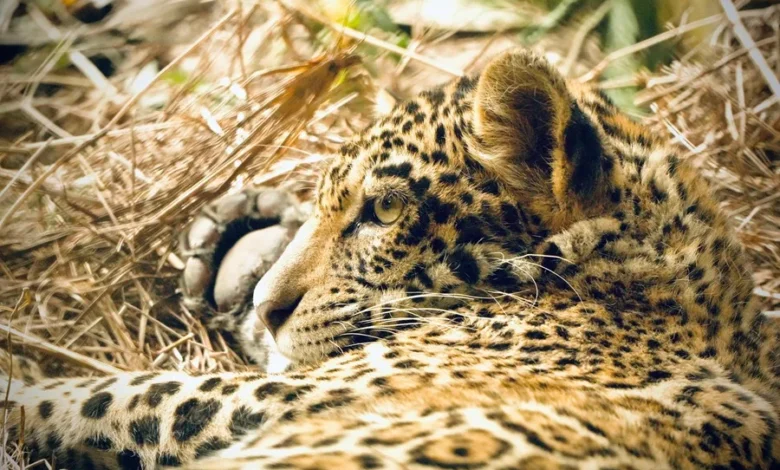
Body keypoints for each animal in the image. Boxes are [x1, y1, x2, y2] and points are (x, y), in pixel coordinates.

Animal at [2, 49, 779, 470]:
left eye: (381, 212)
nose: (270, 306)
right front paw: (245, 241)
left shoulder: (287, 401)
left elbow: (122, 395)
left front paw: (21, 394)